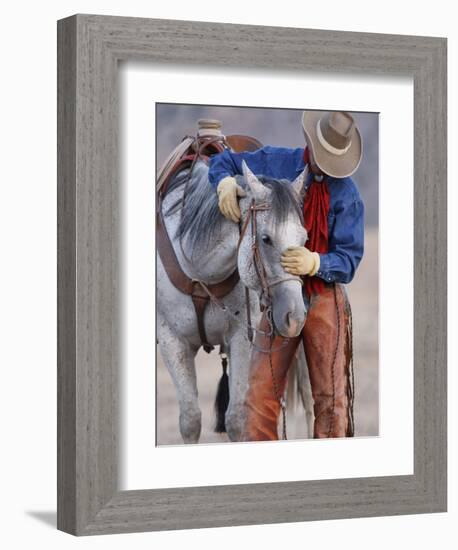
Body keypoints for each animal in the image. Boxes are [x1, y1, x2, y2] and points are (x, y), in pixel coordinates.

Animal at [157, 160, 312, 444]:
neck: (200, 271)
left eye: (304, 240)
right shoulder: (172, 341)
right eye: (266, 239)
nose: (295, 317)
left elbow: (237, 419)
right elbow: (190, 420)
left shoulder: (241, 338)